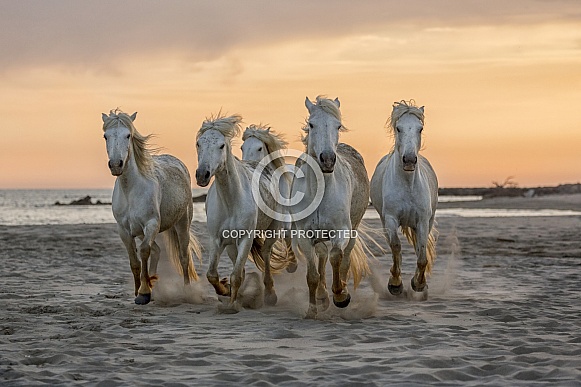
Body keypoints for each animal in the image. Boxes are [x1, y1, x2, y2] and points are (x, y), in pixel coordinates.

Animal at [103, 109, 203, 306]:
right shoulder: (124, 231)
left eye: (128, 135)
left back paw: (186, 290)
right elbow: (135, 261)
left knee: (183, 256)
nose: (116, 165)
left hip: (182, 224)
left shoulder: (151, 225)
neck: (131, 190)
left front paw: (144, 293)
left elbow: (143, 252)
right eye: (106, 136)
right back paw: (153, 287)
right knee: (156, 250)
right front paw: (139, 291)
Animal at [195, 113, 292, 310]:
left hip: (273, 229)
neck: (231, 201)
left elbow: (236, 275)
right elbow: (212, 274)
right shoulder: (217, 239)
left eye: (222, 145)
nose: (202, 175)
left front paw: (232, 306)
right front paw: (225, 291)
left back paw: (270, 295)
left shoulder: (246, 238)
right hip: (232, 245)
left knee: (266, 252)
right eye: (198, 143)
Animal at [292, 96, 370, 318]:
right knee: (321, 256)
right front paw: (312, 310)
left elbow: (337, 257)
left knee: (344, 258)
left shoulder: (341, 231)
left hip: (353, 230)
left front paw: (341, 296)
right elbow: (312, 274)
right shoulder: (304, 236)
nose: (327, 159)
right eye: (311, 124)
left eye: (338, 125)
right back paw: (322, 297)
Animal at [370, 100, 438, 298]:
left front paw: (419, 284)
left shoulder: (422, 221)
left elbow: (422, 256)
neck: (408, 184)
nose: (409, 160)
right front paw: (395, 284)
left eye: (420, 128)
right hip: (385, 222)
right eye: (398, 128)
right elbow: (396, 247)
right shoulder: (391, 219)